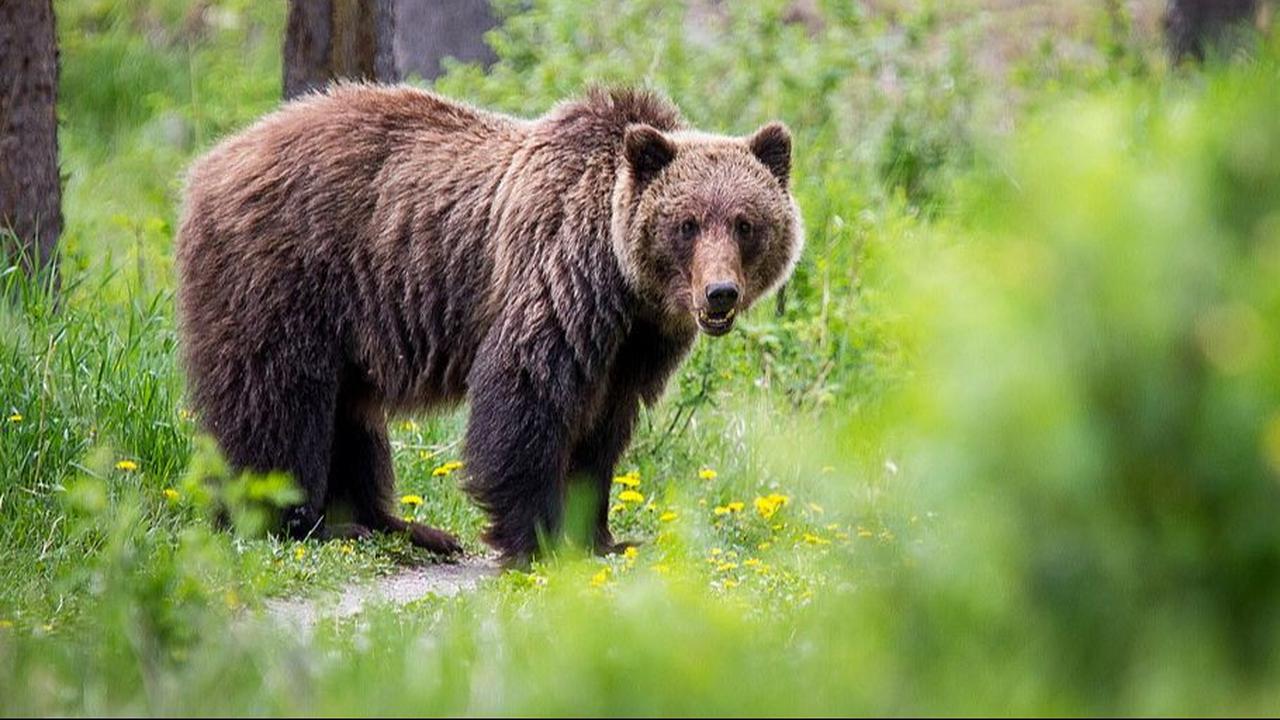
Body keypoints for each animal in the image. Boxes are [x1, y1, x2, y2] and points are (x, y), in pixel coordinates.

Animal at [176, 84, 803, 564]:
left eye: (745, 223)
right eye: (687, 223)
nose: (719, 293)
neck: (623, 284)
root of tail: (211, 162)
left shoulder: (632, 346)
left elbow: (602, 432)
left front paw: (604, 537)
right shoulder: (556, 280)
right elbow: (525, 398)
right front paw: (539, 540)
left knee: (351, 416)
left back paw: (404, 527)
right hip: (286, 274)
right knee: (278, 399)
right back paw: (297, 521)